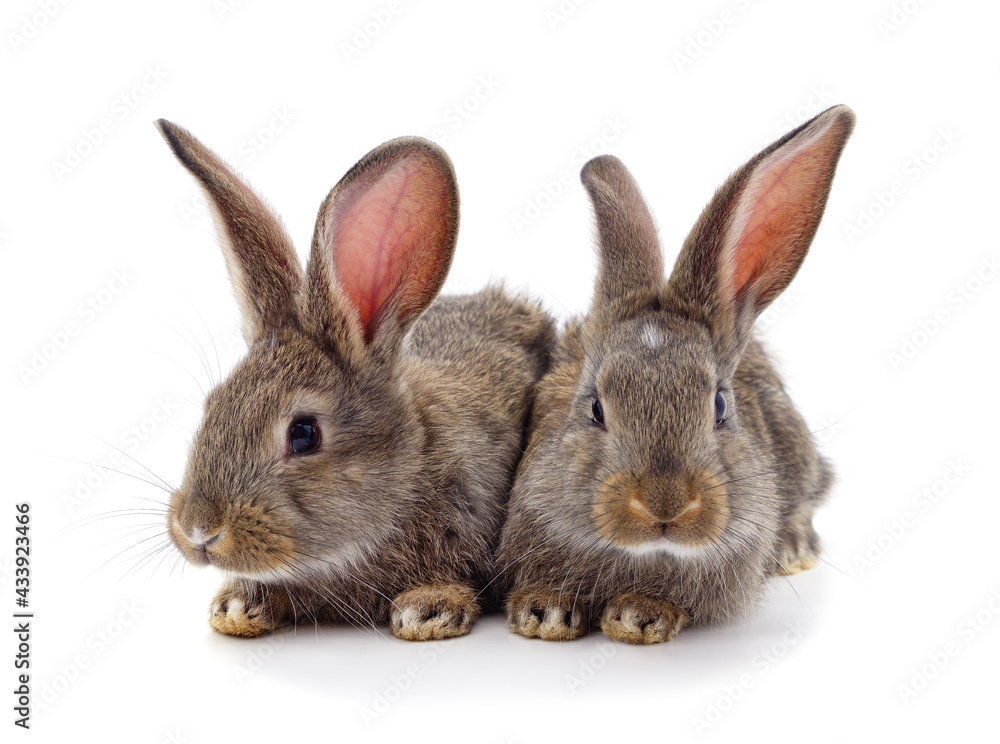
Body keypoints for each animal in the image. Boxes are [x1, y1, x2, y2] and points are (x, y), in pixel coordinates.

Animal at [498, 105, 855, 644]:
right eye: (596, 408)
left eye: (720, 406)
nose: (664, 505)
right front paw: (542, 612)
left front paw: (639, 616)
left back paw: (793, 550)